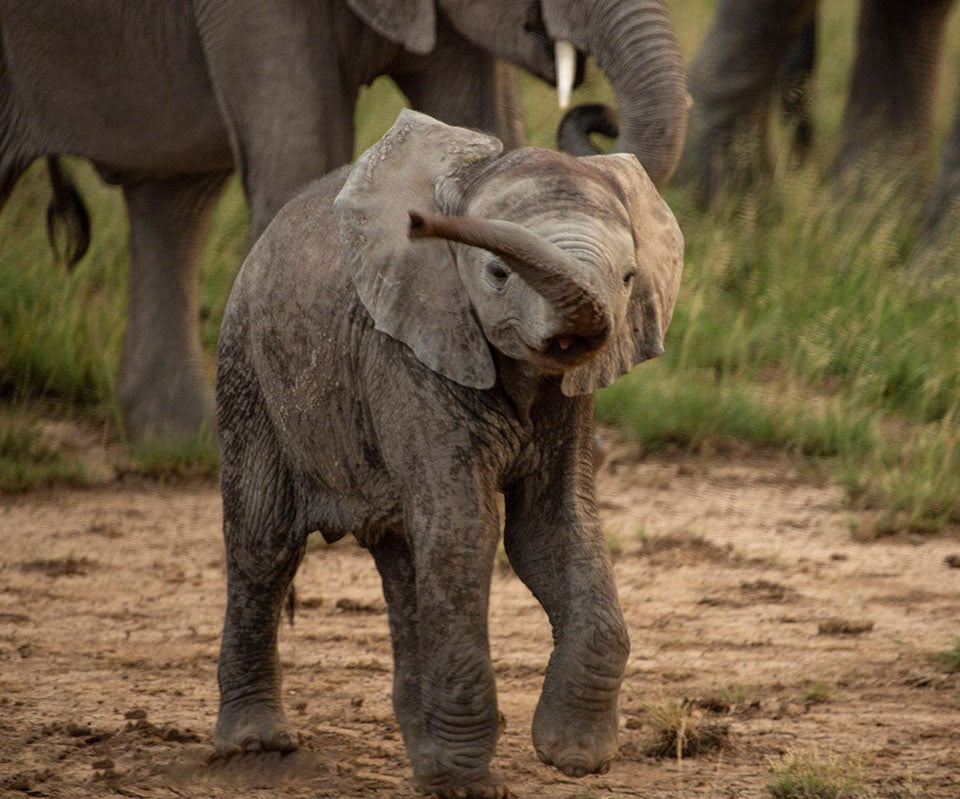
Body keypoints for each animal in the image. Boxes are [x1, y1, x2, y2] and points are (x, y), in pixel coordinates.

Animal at [212, 110, 683, 797]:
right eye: (496, 274)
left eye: (627, 279)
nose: (421, 222)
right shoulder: (410, 352)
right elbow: (466, 529)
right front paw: (473, 786)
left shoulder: (569, 397)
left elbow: (551, 529)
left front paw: (574, 756)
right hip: (247, 367)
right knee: (263, 542)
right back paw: (256, 747)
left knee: (405, 556)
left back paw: (425, 763)